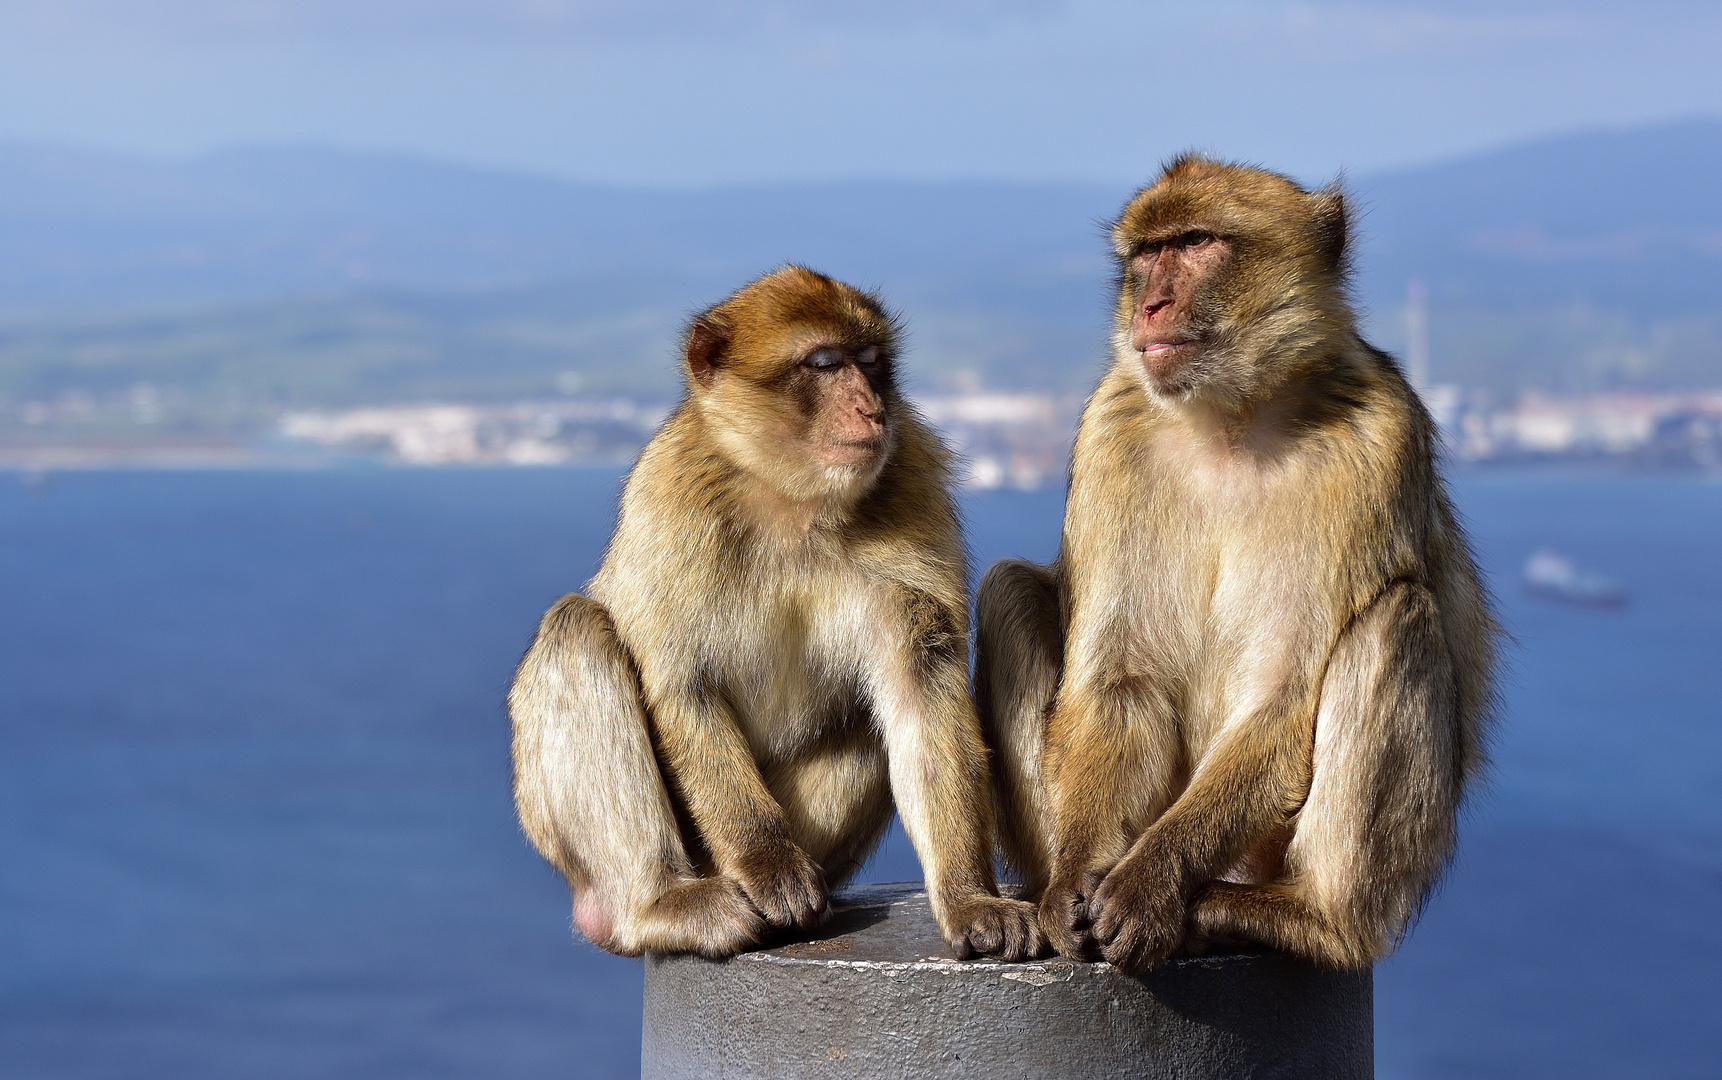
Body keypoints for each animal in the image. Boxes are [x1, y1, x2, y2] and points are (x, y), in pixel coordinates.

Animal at [506, 266, 1046, 957]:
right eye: (824, 363)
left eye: (871, 362)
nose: (872, 408)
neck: (793, 502)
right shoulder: (672, 497)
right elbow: (683, 684)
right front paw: (769, 863)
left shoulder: (912, 480)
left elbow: (920, 690)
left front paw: (970, 895)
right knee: (577, 629)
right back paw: (660, 903)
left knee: (863, 720)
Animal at [978, 158, 1501, 971]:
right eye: (1146, 253)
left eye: (1197, 243)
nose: (1151, 304)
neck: (1230, 418)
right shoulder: (1111, 432)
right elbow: (1119, 679)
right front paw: (1075, 883)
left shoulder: (1376, 437)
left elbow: (1280, 697)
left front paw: (1147, 885)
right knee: (1007, 591)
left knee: (1395, 617)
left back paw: (1311, 918)